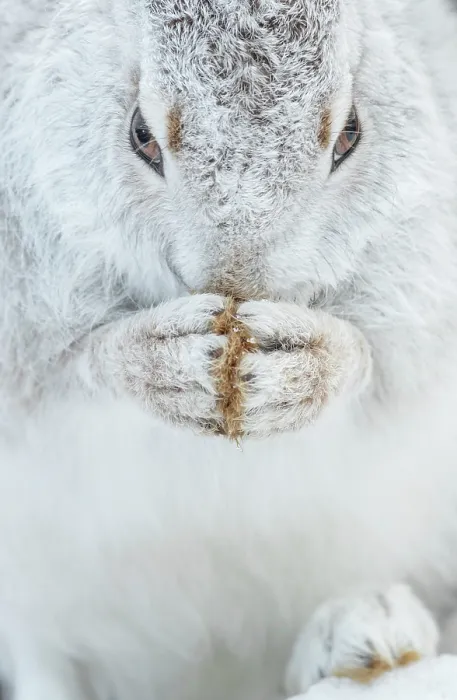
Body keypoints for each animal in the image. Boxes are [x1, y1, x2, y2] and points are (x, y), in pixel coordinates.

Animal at [1, 0, 457, 698]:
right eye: (141, 133)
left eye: (350, 133)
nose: (236, 277)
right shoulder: (25, 332)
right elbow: (69, 374)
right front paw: (165, 361)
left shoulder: (422, 311)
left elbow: (376, 367)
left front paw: (299, 363)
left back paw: (365, 632)